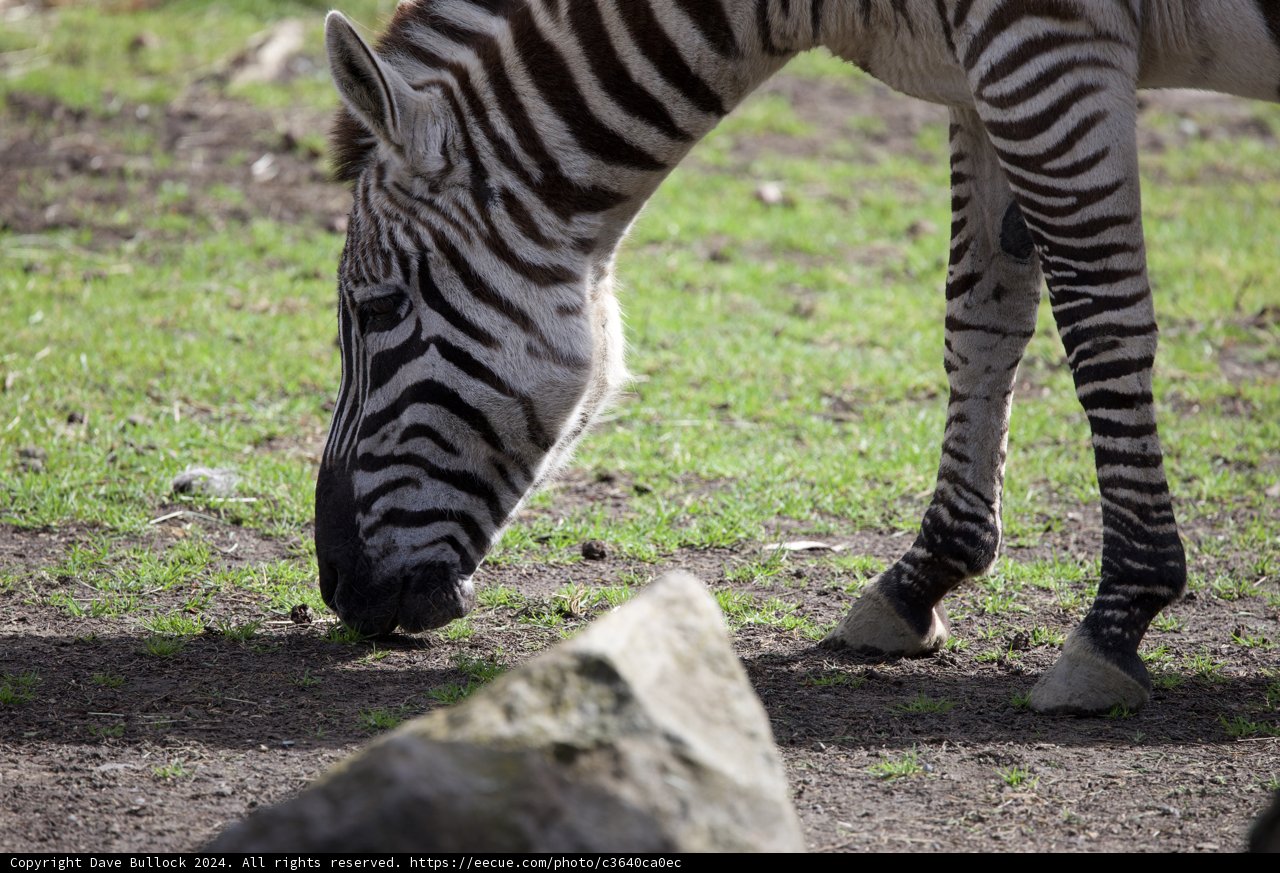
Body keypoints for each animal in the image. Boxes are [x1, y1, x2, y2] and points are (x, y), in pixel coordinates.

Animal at [314, 0, 1280, 715]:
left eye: (380, 309)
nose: (339, 588)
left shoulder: (1046, 42)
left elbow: (1099, 318)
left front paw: (1120, 616)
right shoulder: (984, 78)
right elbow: (982, 316)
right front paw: (923, 576)